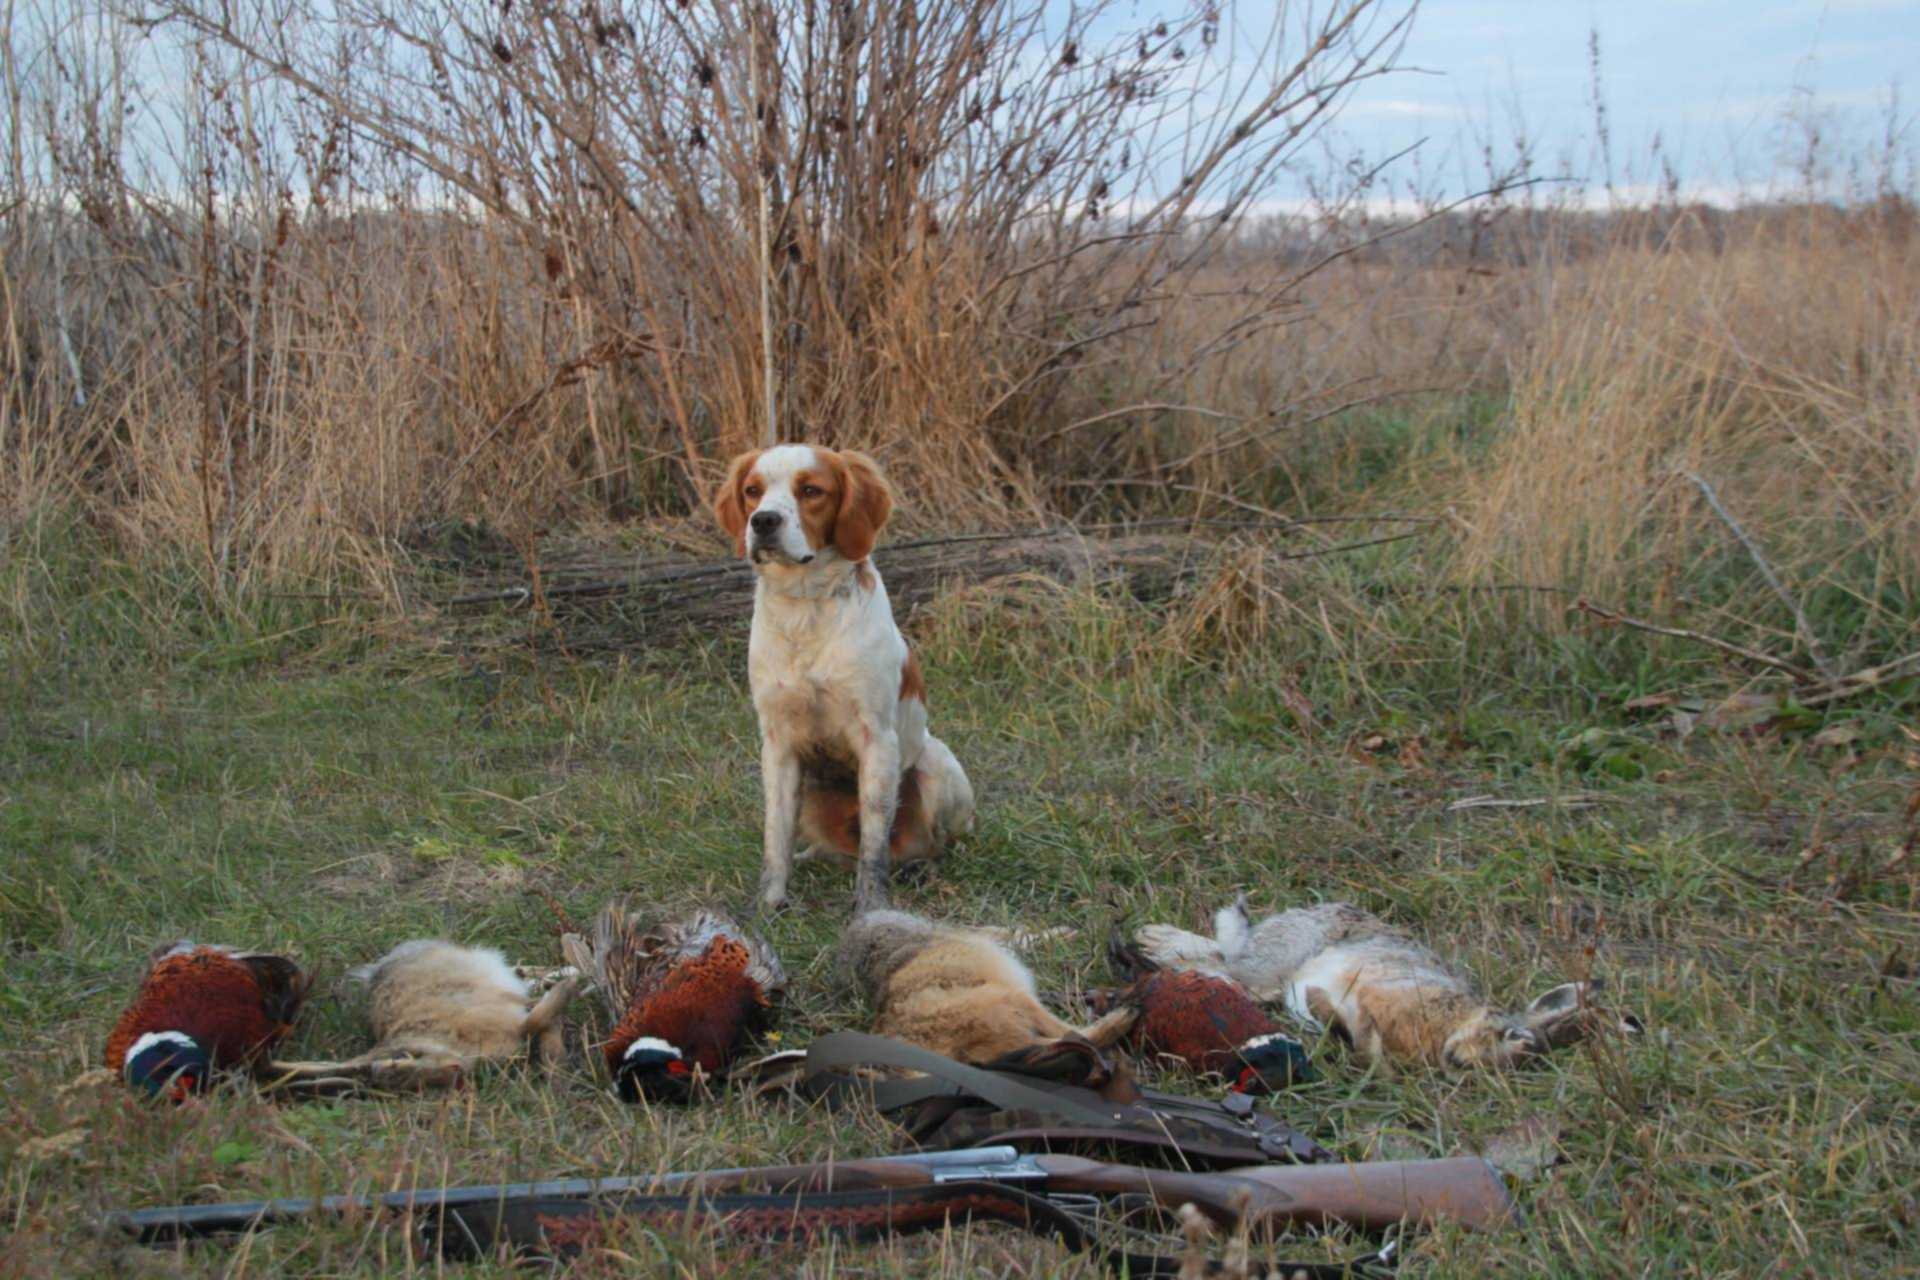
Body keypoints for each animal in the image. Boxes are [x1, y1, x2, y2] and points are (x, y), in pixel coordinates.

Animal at [714, 445, 975, 917]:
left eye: (811, 491)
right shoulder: (777, 744)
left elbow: (874, 844)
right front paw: (769, 903)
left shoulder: (877, 739)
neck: (805, 609)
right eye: (752, 491)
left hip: (936, 764)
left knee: (934, 843)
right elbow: (775, 837)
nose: (763, 521)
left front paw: (871, 906)